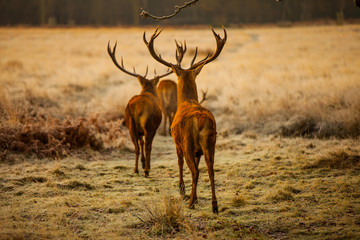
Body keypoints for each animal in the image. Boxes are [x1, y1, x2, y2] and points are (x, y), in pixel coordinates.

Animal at [107, 41, 172, 176]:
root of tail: (135, 108)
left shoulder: (138, 131)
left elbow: (140, 143)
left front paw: (142, 163)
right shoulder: (153, 128)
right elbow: (148, 145)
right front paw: (147, 166)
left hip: (130, 125)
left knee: (136, 147)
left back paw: (136, 169)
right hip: (149, 125)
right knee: (147, 146)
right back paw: (146, 171)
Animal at [143, 26, 225, 214]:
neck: (186, 101)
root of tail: (201, 121)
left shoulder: (177, 141)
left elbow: (179, 164)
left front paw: (181, 189)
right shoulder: (199, 150)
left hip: (188, 142)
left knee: (195, 171)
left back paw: (191, 202)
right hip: (211, 142)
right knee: (211, 170)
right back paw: (214, 205)